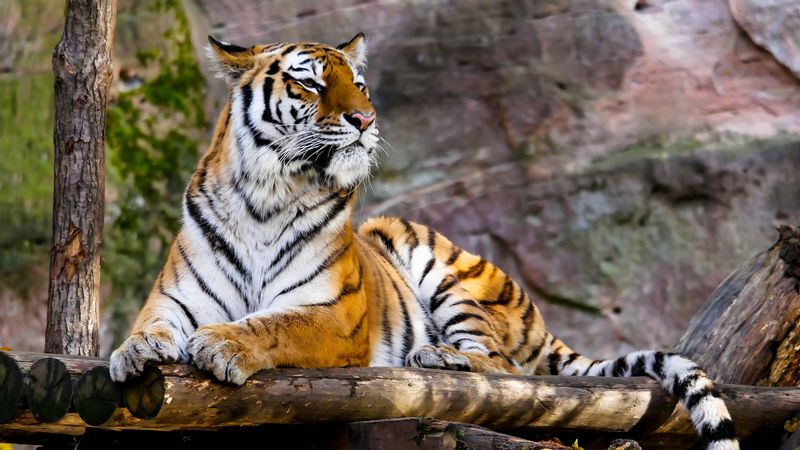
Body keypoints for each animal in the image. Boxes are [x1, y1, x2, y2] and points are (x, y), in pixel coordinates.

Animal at [109, 33, 739, 450]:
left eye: (358, 84)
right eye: (310, 82)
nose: (366, 119)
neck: (268, 196)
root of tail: (538, 317)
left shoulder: (334, 314)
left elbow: (274, 324)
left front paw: (222, 344)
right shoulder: (174, 298)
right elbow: (148, 326)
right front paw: (133, 352)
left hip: (439, 265)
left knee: (508, 370)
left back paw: (438, 355)